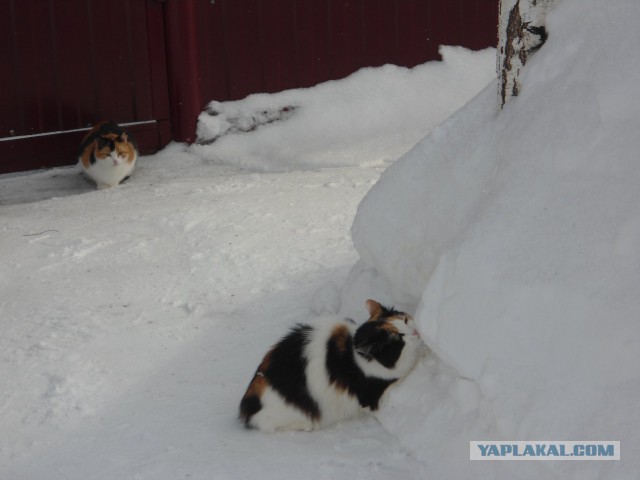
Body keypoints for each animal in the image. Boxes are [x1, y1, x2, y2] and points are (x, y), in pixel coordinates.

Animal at [238, 300, 422, 432]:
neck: (352, 354)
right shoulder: (371, 396)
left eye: (406, 320)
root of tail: (247, 407)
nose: (415, 332)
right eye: (398, 338)